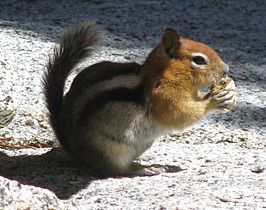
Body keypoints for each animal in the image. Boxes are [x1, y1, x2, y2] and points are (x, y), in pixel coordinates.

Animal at [42, 21, 236, 176]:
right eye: (199, 60)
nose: (226, 69)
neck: (164, 75)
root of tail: (73, 149)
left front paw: (226, 95)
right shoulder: (164, 98)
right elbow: (181, 115)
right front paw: (214, 101)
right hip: (113, 149)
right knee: (118, 169)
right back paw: (146, 168)